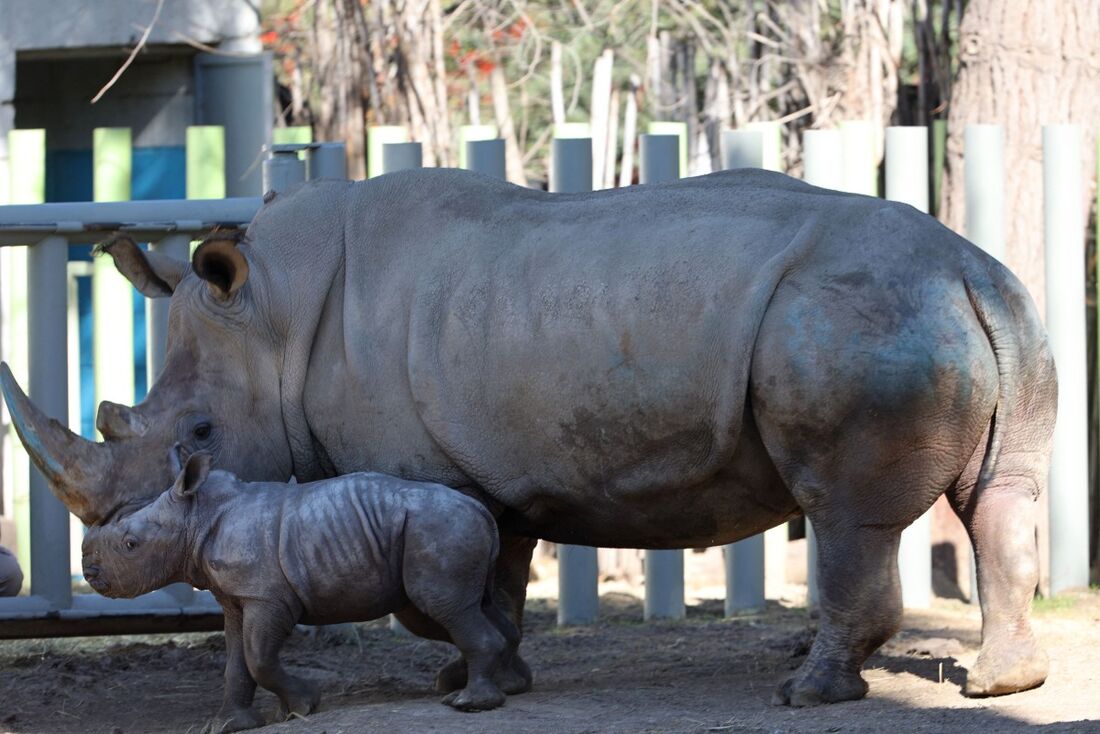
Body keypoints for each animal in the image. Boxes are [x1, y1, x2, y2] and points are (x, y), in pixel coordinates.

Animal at [81, 451, 519, 730]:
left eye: (130, 544)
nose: (88, 571)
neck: (196, 515)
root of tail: (481, 510)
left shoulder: (267, 597)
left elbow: (258, 657)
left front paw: (304, 705)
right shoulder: (236, 599)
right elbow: (235, 662)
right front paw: (229, 725)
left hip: (438, 528)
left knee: (441, 605)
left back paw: (468, 703)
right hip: (447, 528)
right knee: (476, 604)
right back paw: (503, 686)